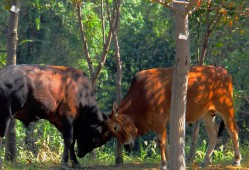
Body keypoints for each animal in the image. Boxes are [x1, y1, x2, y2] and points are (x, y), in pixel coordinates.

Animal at [104, 65, 241, 169]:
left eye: (115, 127)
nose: (127, 146)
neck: (140, 97)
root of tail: (224, 72)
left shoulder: (159, 121)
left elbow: (161, 142)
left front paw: (163, 164)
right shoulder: (160, 123)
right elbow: (166, 143)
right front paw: (169, 162)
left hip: (226, 107)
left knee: (233, 130)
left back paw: (236, 159)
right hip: (208, 113)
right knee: (213, 134)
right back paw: (206, 160)